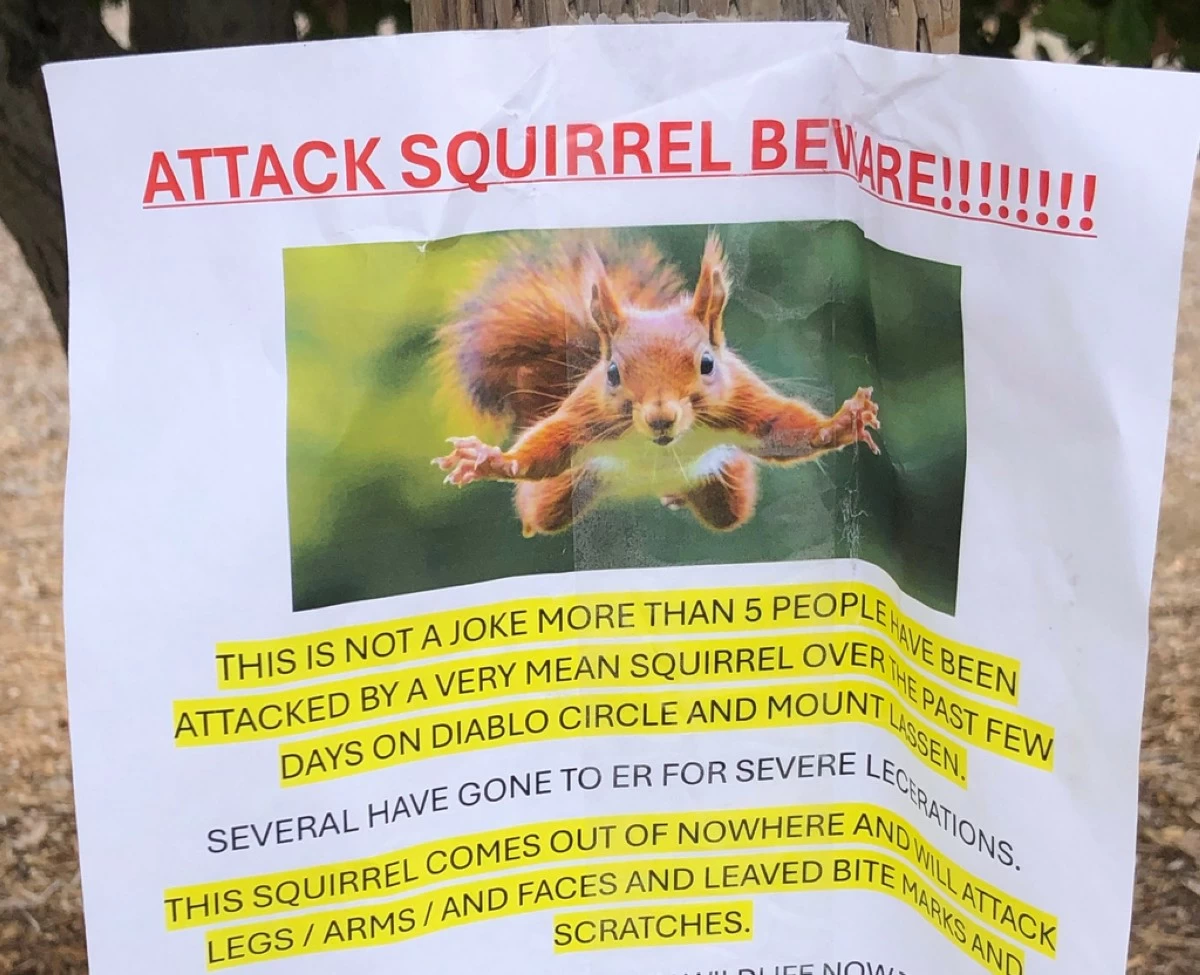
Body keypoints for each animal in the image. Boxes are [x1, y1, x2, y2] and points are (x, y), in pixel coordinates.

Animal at [432, 229, 881, 538]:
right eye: (613, 373)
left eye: (707, 363)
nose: (661, 418)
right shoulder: (587, 415)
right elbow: (549, 446)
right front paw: (491, 460)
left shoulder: (740, 401)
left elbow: (781, 430)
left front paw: (840, 424)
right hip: (563, 493)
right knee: (541, 507)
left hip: (724, 492)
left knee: (728, 510)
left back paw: (678, 495)